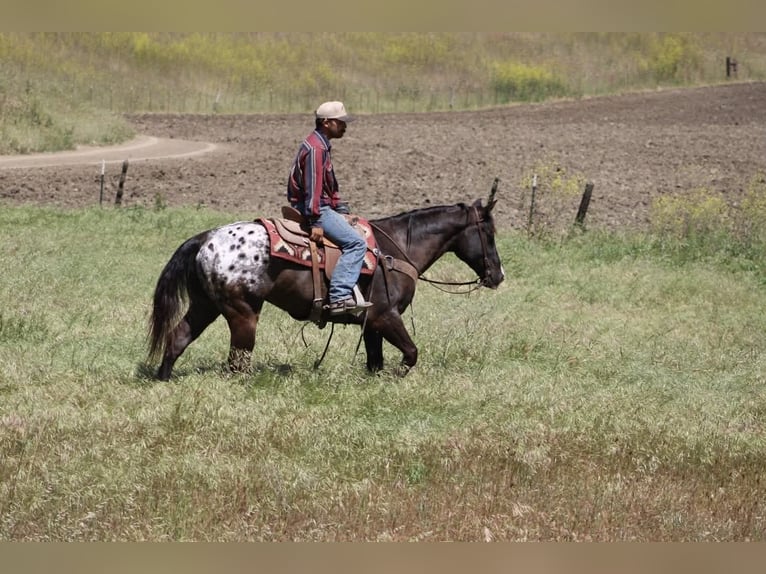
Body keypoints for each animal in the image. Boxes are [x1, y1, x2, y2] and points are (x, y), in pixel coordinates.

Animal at [147, 189, 505, 381]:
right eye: (489, 233)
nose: (498, 275)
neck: (397, 248)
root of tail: (205, 238)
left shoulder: (371, 324)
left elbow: (375, 362)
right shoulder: (386, 316)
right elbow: (411, 353)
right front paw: (398, 376)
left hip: (205, 305)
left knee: (178, 337)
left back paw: (164, 379)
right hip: (242, 312)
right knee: (237, 359)